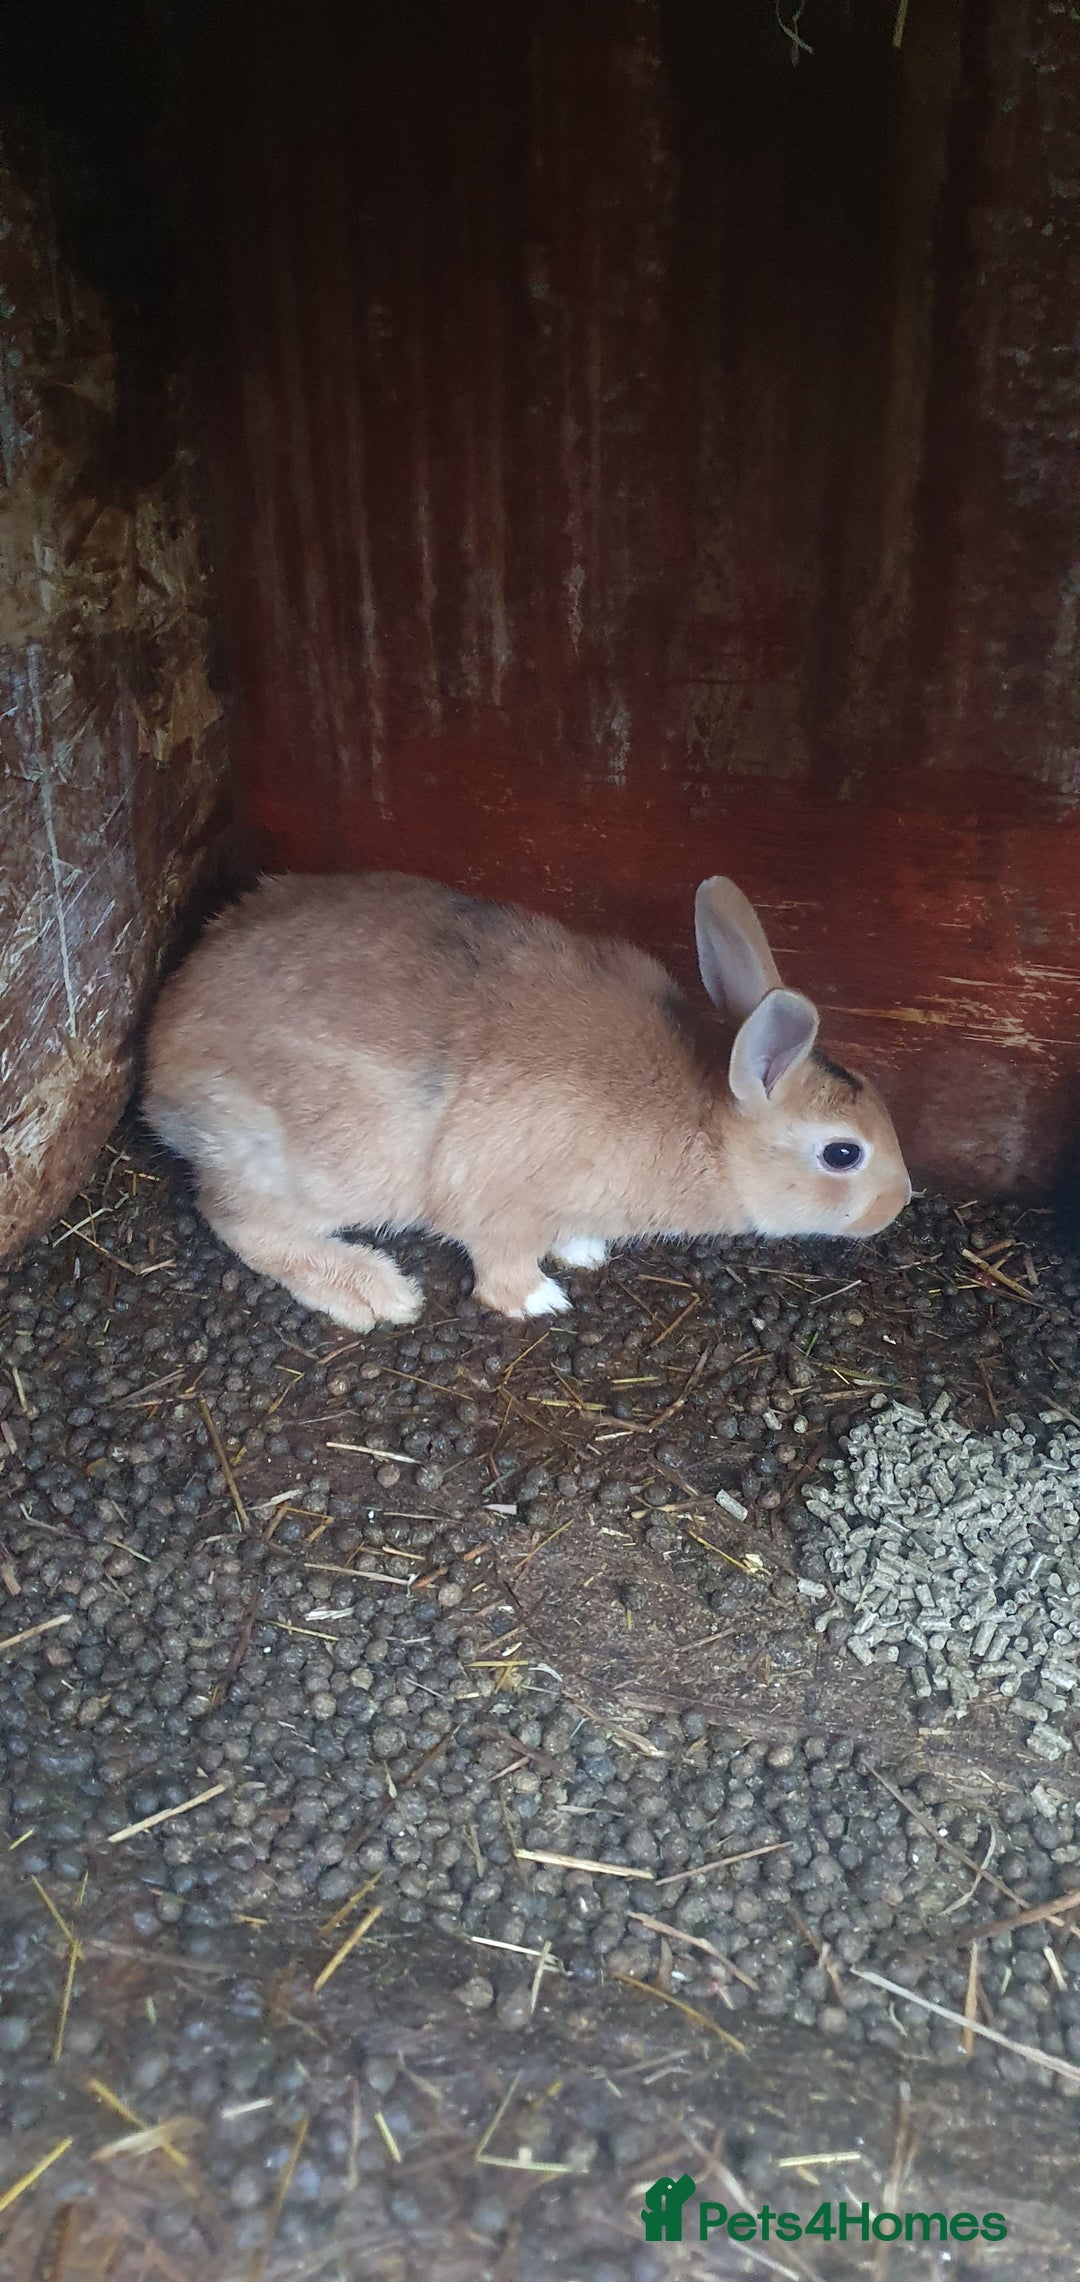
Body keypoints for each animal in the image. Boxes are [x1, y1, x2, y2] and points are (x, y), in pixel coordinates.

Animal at [143, 871, 911, 1331]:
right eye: (843, 1154)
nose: (899, 1205)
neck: (706, 1118)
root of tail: (159, 1059)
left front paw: (586, 1251)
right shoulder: (500, 1207)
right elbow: (501, 1266)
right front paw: (542, 1300)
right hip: (311, 1165)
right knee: (238, 1221)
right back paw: (375, 1292)